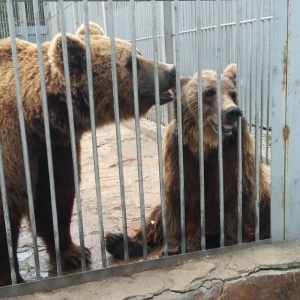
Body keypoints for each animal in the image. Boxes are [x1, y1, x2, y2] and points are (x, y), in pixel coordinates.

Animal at [0, 23, 177, 286]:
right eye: (131, 62)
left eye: (138, 52)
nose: (171, 70)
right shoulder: (13, 145)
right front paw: (11, 278)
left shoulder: (54, 148)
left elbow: (55, 197)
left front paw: (74, 254)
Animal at [106, 63, 272, 258]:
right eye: (209, 92)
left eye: (232, 93)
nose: (233, 111)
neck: (205, 143)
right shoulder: (179, 155)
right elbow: (177, 198)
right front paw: (175, 248)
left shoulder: (235, 153)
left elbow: (235, 195)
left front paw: (229, 240)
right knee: (155, 217)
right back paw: (121, 243)